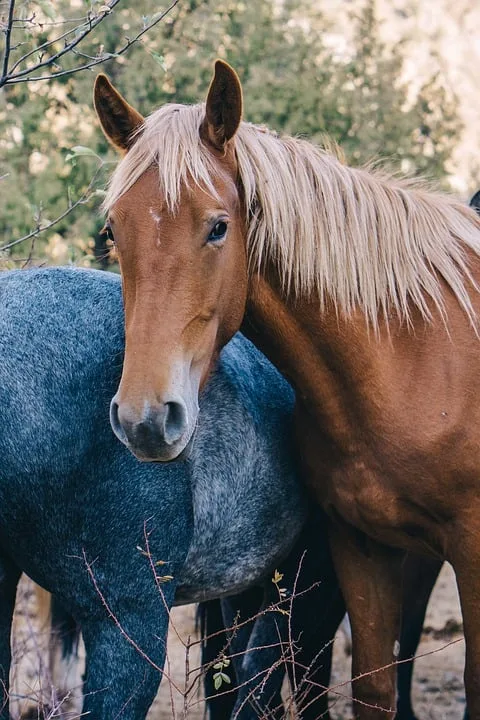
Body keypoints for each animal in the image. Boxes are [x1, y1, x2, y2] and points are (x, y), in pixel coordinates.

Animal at [94, 63, 480, 720]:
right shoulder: (361, 548)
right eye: (115, 231)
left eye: (218, 228)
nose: (145, 418)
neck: (416, 356)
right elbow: (372, 687)